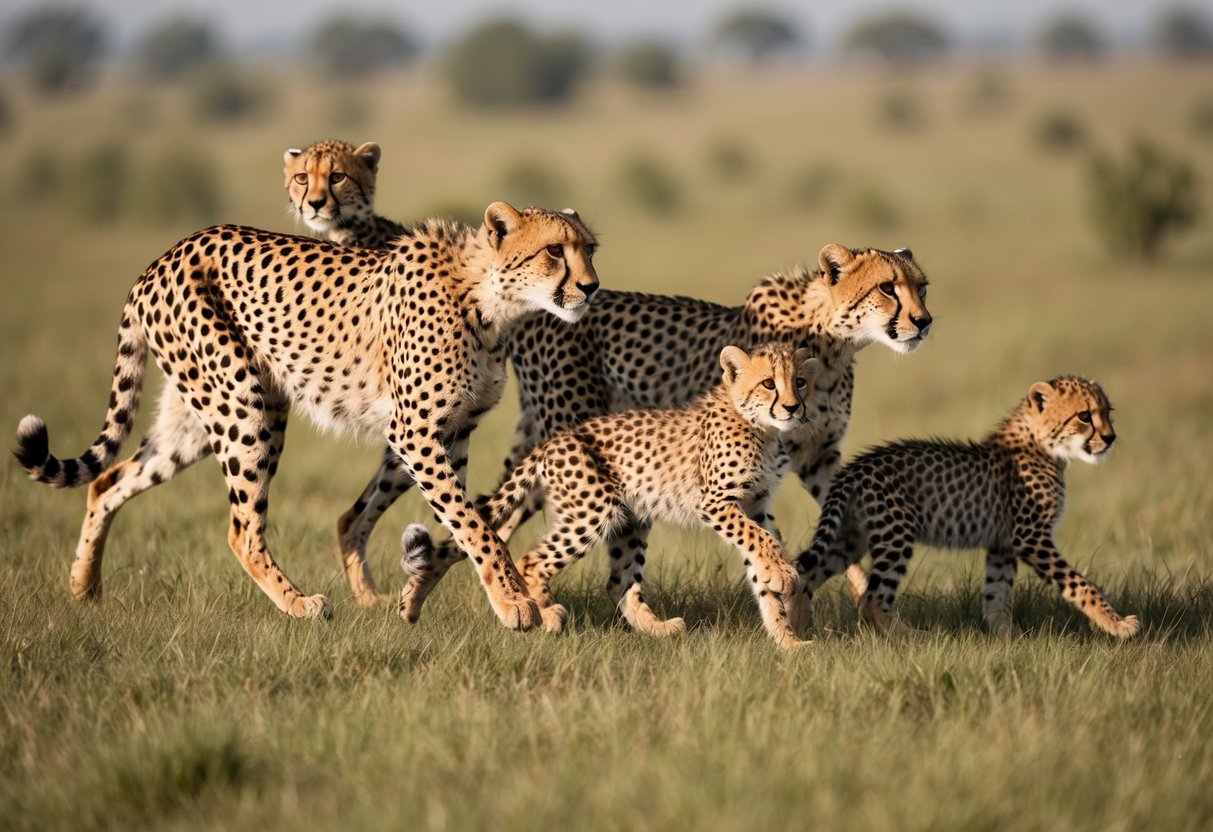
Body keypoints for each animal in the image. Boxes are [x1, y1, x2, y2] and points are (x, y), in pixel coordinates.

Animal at [14, 200, 599, 630]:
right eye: (554, 251)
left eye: (589, 249)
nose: (591, 286)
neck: (488, 300)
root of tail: (164, 257)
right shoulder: (415, 432)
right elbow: (477, 526)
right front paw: (514, 603)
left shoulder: (453, 434)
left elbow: (469, 522)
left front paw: (427, 597)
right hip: (244, 406)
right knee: (242, 529)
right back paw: (300, 605)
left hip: (200, 418)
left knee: (107, 481)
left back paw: (84, 588)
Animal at [400, 344, 820, 649]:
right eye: (768, 383)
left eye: (800, 382)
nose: (792, 407)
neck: (761, 428)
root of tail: (555, 439)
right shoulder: (717, 503)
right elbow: (760, 540)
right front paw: (786, 576)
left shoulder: (756, 505)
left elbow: (761, 553)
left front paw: (788, 641)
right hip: (593, 511)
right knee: (532, 560)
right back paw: (548, 615)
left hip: (631, 516)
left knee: (619, 583)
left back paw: (657, 629)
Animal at [790, 375, 1141, 639]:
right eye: (1084, 416)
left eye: (1108, 412)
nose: (1110, 438)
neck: (1045, 447)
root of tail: (854, 468)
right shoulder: (1031, 539)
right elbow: (1079, 583)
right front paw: (1117, 625)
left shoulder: (1003, 544)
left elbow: (997, 595)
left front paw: (1008, 638)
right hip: (895, 535)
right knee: (872, 598)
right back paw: (911, 637)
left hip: (850, 539)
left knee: (805, 574)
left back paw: (798, 631)